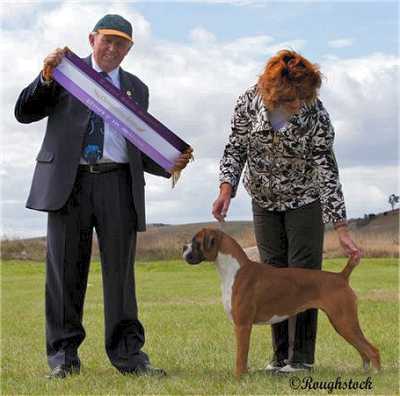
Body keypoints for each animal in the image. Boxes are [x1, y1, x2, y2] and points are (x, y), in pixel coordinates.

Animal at [183, 227, 380, 378]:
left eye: (195, 241)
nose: (183, 247)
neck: (234, 270)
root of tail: (341, 276)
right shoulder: (242, 326)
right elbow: (243, 355)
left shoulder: (243, 325)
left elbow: (241, 356)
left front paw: (238, 378)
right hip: (343, 324)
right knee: (363, 349)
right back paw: (365, 372)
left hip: (344, 322)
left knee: (372, 349)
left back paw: (376, 374)